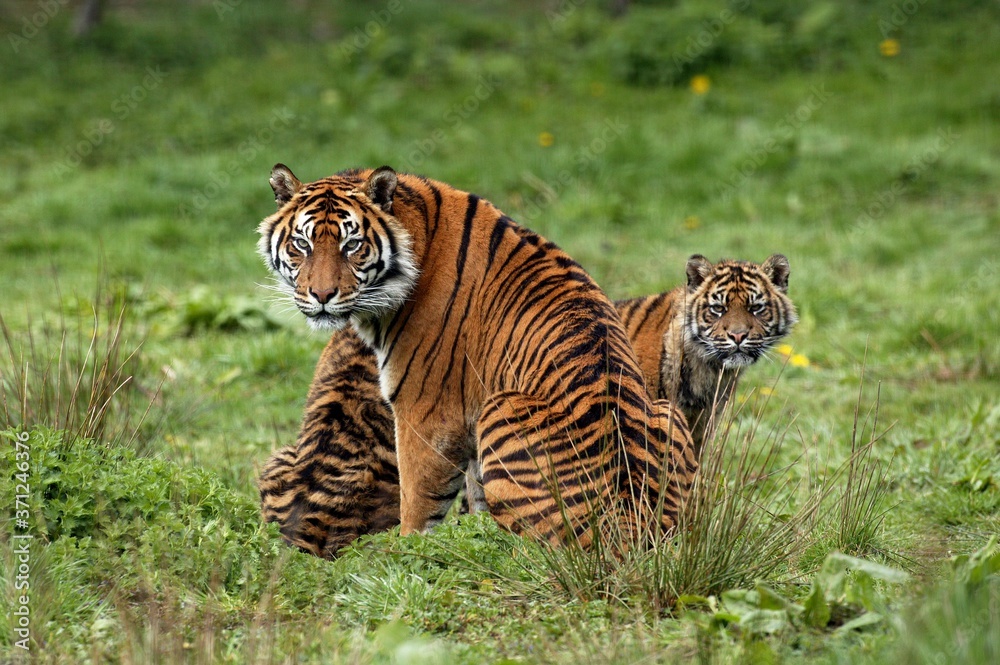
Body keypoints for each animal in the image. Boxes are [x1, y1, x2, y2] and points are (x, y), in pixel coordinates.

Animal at [257, 164, 696, 549]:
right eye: (301, 244)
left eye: (352, 245)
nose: (322, 295)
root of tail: (632, 529)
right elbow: (475, 498)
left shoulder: (427, 415)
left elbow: (417, 503)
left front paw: (406, 553)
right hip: (668, 412)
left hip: (501, 408)